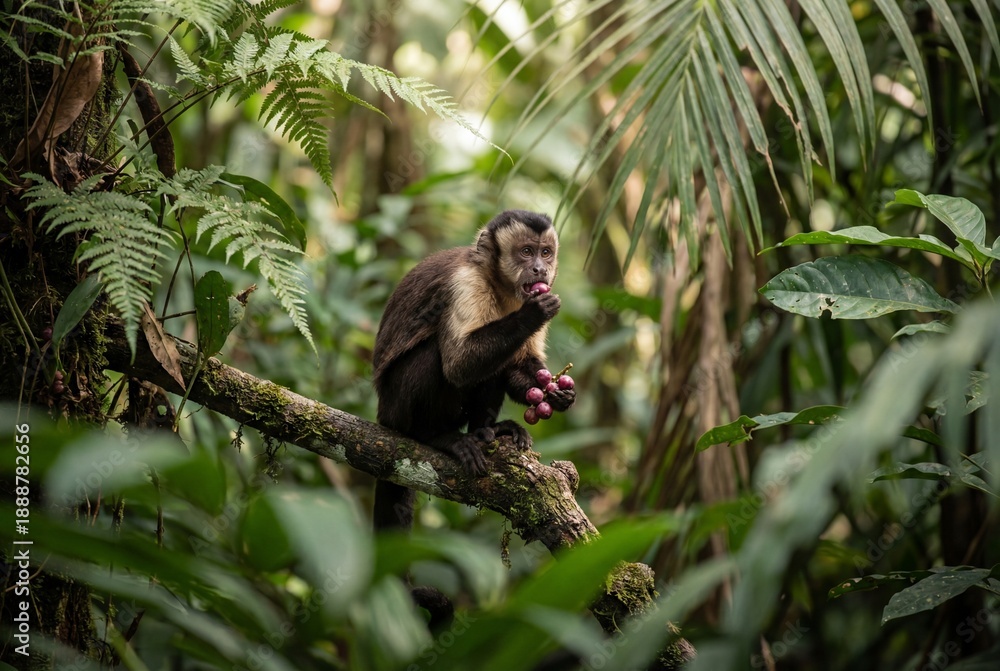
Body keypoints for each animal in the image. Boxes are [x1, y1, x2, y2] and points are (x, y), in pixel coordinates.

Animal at [371, 209, 576, 532]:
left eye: (545, 252)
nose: (540, 269)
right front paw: (534, 313)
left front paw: (559, 395)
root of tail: (383, 413)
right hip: (395, 409)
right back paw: (433, 436)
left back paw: (486, 430)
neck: (498, 283)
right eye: (526, 252)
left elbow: (519, 365)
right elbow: (458, 364)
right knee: (435, 356)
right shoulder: (464, 283)